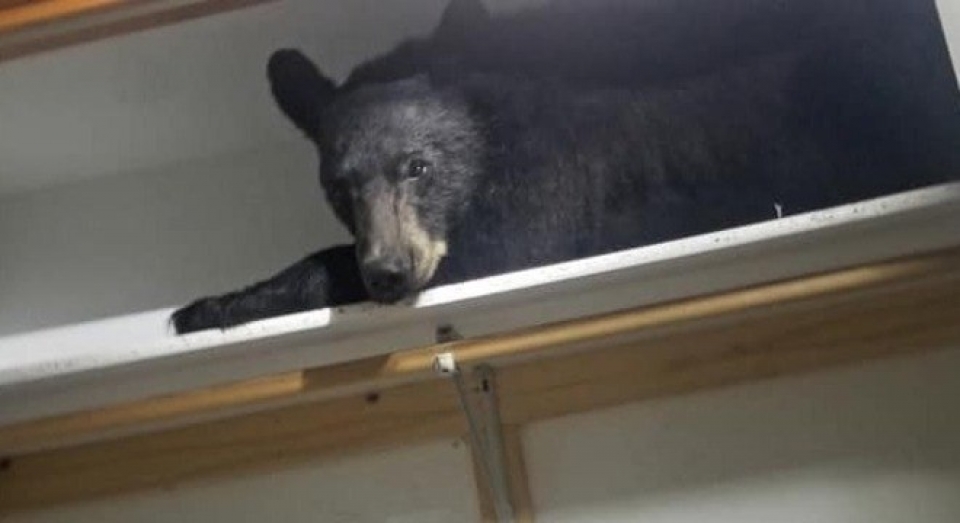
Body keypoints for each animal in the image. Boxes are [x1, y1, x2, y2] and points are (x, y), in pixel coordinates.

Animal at [171, 0, 960, 334]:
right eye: (338, 187)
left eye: (418, 166)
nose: (388, 274)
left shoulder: (549, 184)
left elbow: (505, 246)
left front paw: (214, 302)